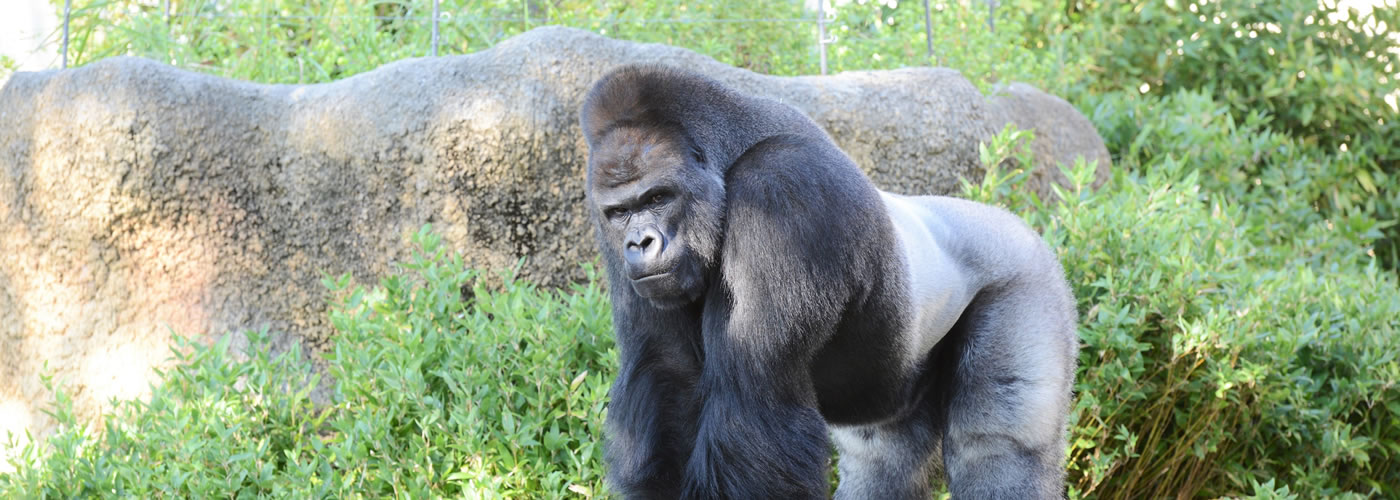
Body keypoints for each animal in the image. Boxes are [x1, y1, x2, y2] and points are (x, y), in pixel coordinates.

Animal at [579, 64, 1080, 495]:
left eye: (658, 197)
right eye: (620, 212)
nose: (640, 243)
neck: (731, 155)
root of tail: (1013, 222)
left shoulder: (781, 186)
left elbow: (755, 401)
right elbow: (668, 373)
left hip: (1027, 276)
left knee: (997, 449)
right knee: (882, 463)